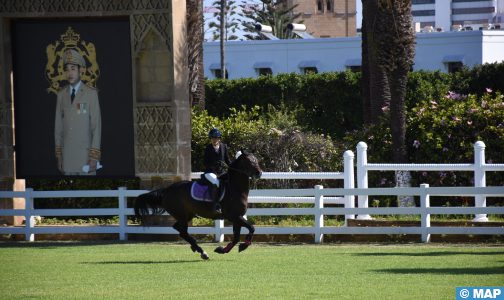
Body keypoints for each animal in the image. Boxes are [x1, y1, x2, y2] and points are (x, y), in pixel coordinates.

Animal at [134, 151, 262, 258]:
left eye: (256, 160)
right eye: (249, 161)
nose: (259, 173)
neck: (234, 188)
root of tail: (167, 190)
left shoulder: (237, 218)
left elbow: (236, 237)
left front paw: (222, 250)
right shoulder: (235, 217)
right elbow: (252, 228)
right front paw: (244, 245)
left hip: (186, 215)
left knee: (179, 229)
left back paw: (195, 247)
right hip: (182, 215)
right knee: (183, 232)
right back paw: (202, 252)